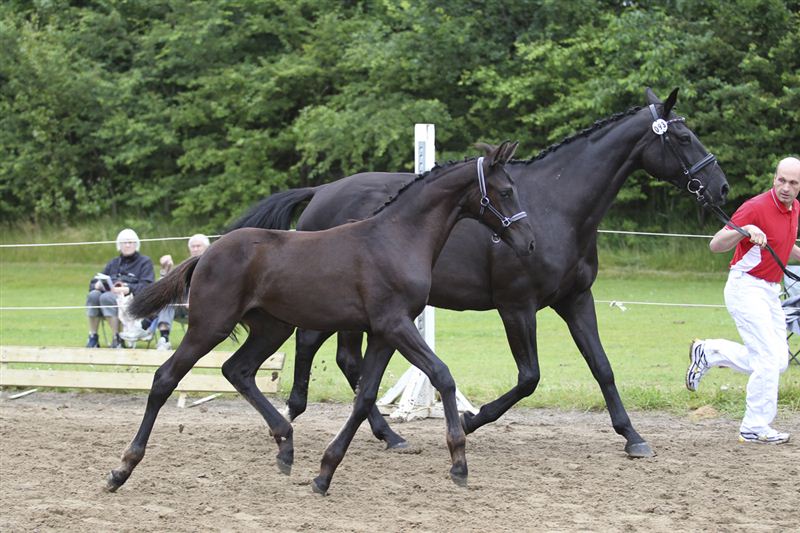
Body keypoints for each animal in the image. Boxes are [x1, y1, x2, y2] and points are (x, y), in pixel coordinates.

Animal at [106, 141, 535, 495]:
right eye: (506, 191)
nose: (529, 242)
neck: (398, 239)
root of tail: (206, 254)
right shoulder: (395, 325)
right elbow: (442, 376)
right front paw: (459, 461)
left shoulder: (383, 333)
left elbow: (364, 397)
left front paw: (325, 472)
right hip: (210, 326)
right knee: (165, 378)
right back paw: (121, 469)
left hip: (271, 328)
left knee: (237, 370)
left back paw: (285, 445)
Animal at [230, 88, 730, 458]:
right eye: (683, 137)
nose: (721, 187)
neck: (557, 206)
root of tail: (322, 191)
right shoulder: (516, 306)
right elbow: (529, 378)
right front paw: (470, 421)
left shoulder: (575, 300)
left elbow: (602, 367)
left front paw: (633, 437)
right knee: (320, 347)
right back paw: (325, 419)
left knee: (342, 357)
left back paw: (377, 432)